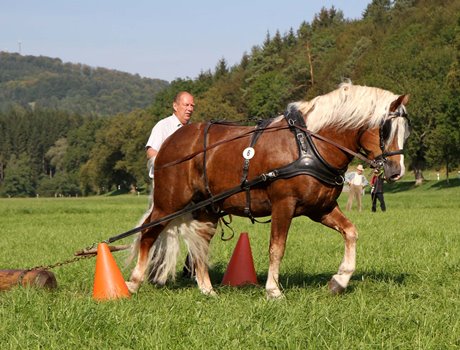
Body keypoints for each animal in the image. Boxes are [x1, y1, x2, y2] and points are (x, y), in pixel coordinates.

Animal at [125, 82, 410, 298]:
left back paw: (207, 290)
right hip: (169, 203)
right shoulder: (284, 204)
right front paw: (273, 290)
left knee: (199, 244)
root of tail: (171, 142)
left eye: (405, 131)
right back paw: (133, 282)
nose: (396, 171)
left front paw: (339, 280)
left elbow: (350, 232)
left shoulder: (321, 208)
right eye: (386, 129)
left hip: (208, 209)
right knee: (148, 234)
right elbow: (277, 247)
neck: (308, 144)